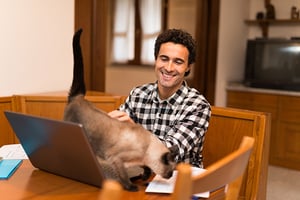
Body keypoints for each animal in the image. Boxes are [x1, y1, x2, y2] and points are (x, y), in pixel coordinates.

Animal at [62, 28, 176, 191]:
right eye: (171, 170)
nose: (171, 176)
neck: (146, 148)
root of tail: (78, 96)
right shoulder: (117, 160)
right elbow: (124, 176)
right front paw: (131, 187)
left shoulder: (137, 161)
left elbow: (146, 168)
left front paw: (145, 177)